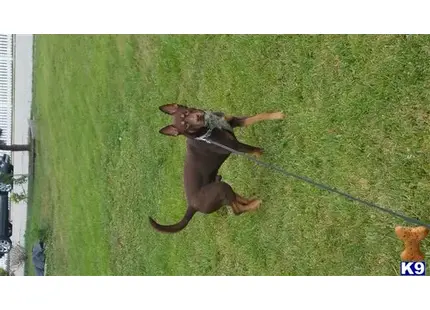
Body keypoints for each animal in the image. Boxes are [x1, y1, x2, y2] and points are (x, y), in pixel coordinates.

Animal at [149, 104, 286, 232]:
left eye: (186, 112)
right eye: (186, 125)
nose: (198, 117)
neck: (207, 130)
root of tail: (191, 206)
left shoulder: (234, 121)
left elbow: (258, 116)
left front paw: (278, 115)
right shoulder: (235, 146)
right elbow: (254, 149)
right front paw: (264, 155)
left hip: (219, 184)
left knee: (234, 198)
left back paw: (251, 201)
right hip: (220, 188)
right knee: (237, 210)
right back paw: (255, 204)